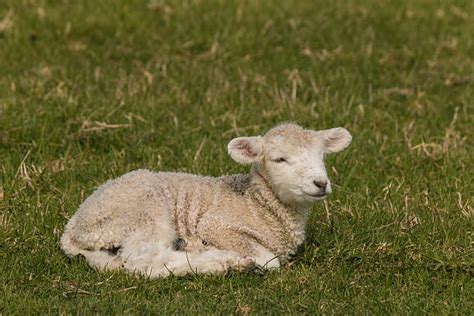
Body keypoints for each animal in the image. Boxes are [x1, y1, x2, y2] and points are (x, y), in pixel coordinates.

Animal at [60, 123, 352, 276]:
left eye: (322, 156)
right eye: (280, 159)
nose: (320, 183)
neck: (257, 203)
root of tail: (72, 230)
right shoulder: (218, 225)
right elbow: (269, 260)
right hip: (142, 215)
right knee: (145, 261)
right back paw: (224, 261)